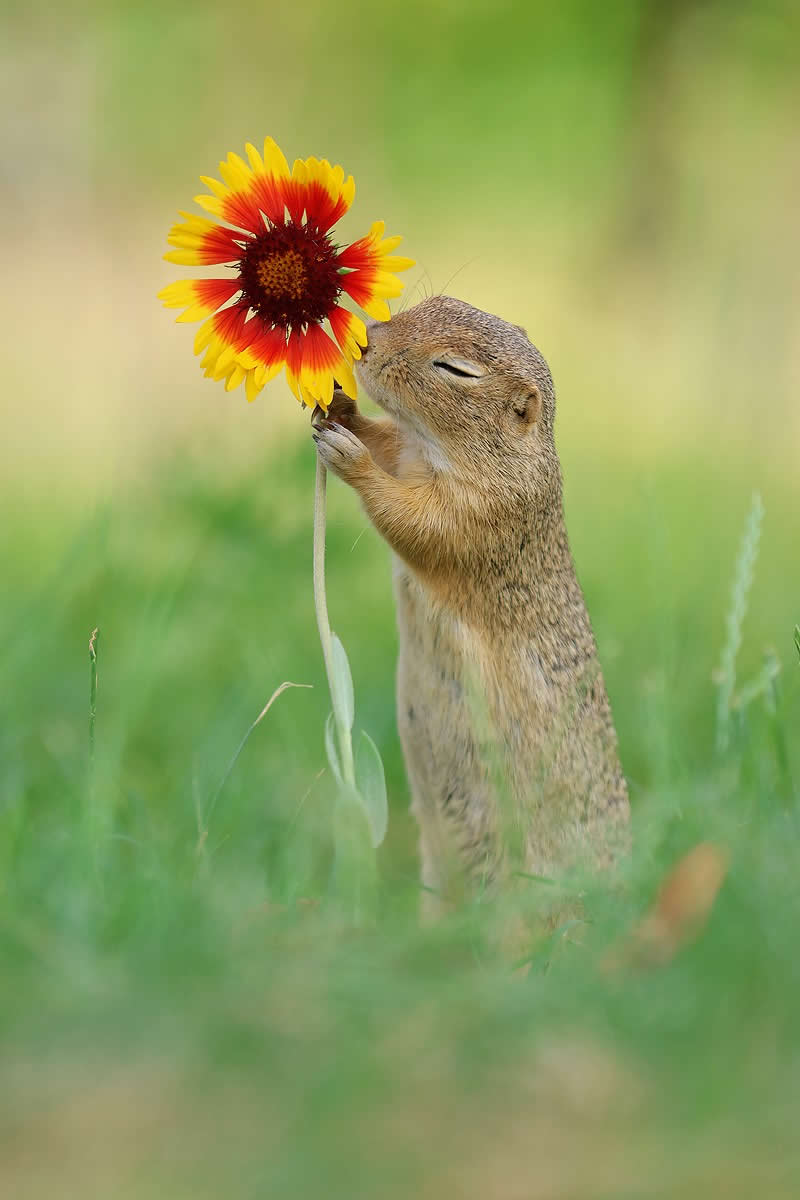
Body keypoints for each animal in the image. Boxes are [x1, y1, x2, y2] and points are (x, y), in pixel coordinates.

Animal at [312, 295, 629, 912]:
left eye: (456, 370)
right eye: (433, 302)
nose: (365, 339)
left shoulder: (479, 514)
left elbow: (412, 521)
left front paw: (349, 455)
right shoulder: (408, 451)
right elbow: (387, 443)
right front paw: (338, 407)